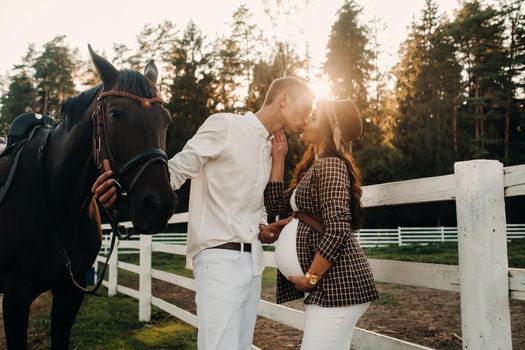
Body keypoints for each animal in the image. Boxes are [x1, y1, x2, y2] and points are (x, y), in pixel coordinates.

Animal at [0, 47, 176, 350]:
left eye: (166, 120)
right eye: (115, 114)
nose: (158, 205)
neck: (59, 205)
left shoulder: (70, 293)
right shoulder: (15, 297)